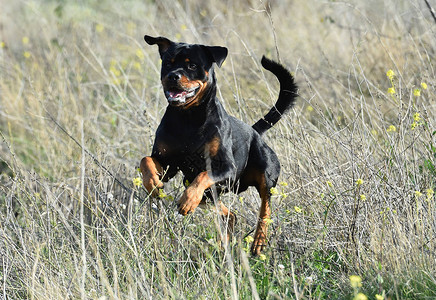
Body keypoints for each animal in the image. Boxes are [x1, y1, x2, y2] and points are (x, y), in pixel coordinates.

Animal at [140, 35, 296, 255]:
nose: (172, 76)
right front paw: (152, 183)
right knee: (230, 215)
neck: (188, 118)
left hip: (266, 173)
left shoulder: (226, 169)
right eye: (167, 63)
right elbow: (146, 160)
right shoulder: (167, 163)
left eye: (192, 65)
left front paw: (187, 201)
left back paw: (258, 241)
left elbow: (204, 175)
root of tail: (254, 131)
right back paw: (225, 245)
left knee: (265, 207)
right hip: (205, 192)